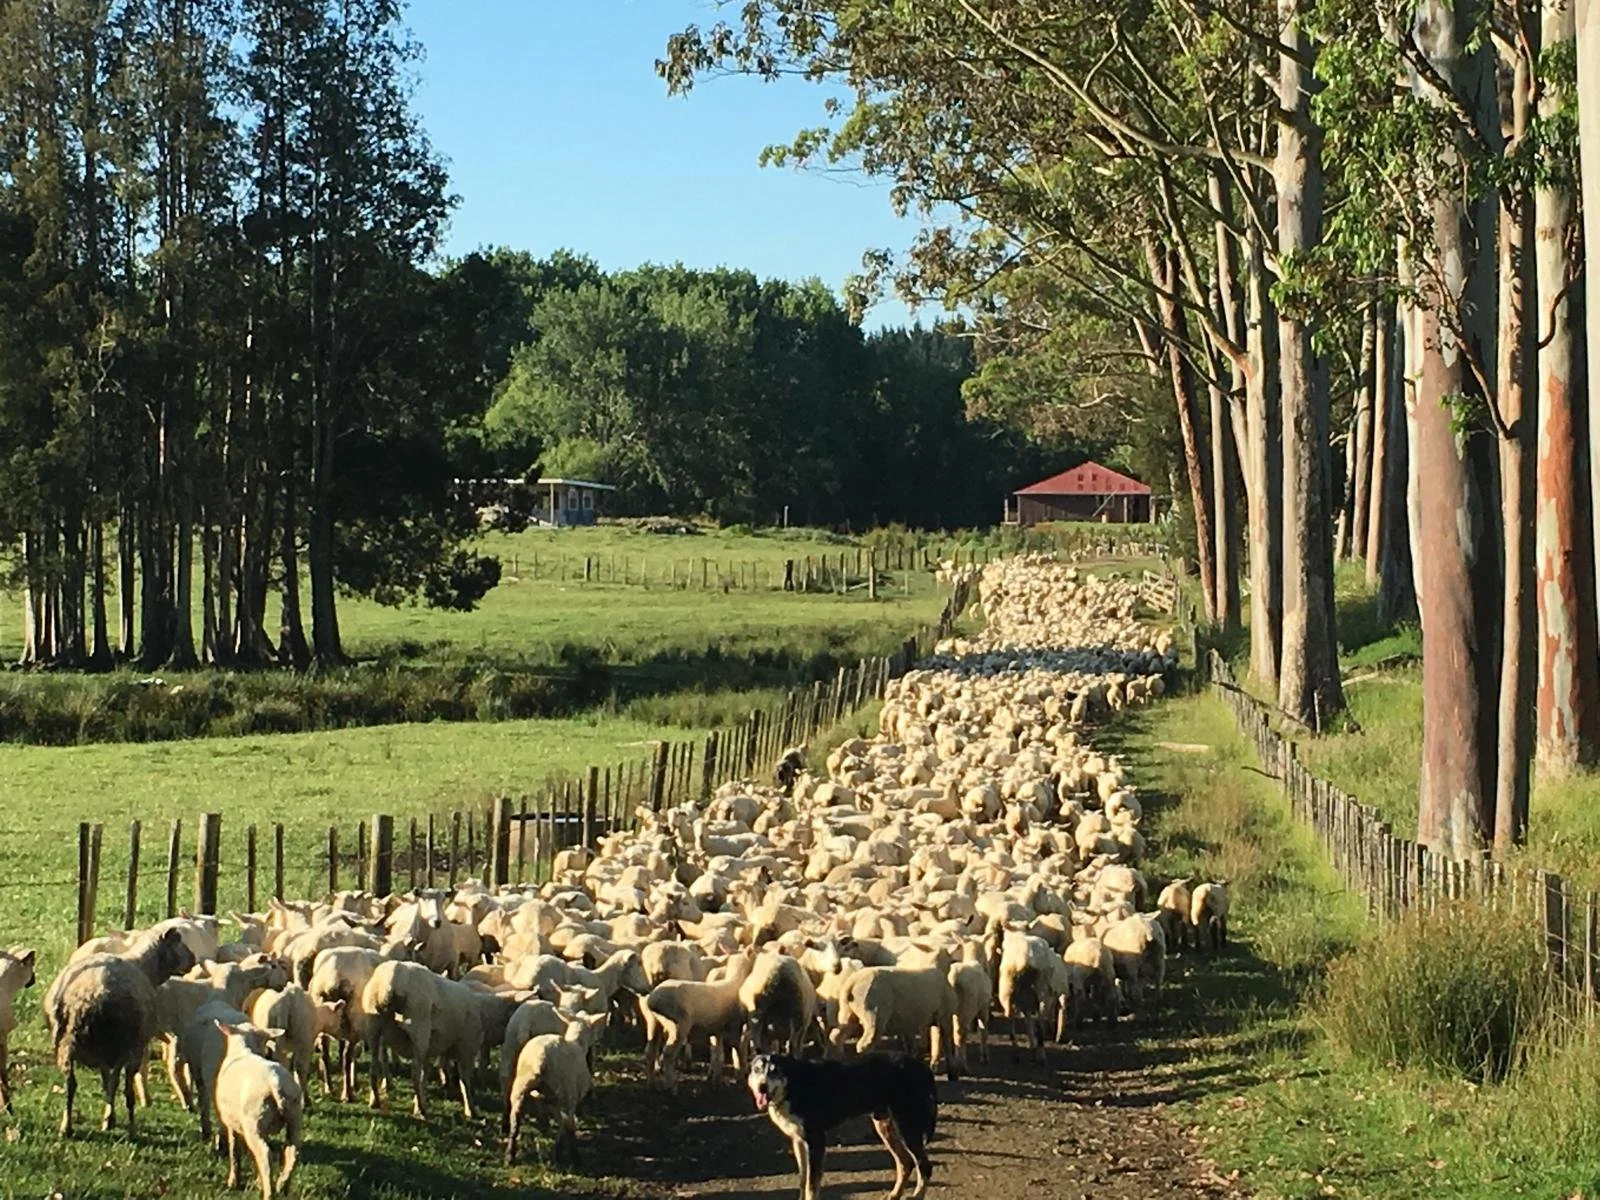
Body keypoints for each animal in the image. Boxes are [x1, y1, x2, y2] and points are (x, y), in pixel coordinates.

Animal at [48, 926, 196, 1136]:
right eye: (177, 942)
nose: (193, 959)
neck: (144, 966)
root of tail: (85, 995)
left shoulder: (104, 1054)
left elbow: (107, 1083)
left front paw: (109, 1118)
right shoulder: (131, 1048)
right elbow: (123, 1086)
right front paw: (116, 1121)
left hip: (65, 1044)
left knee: (70, 1084)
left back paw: (66, 1126)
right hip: (121, 1043)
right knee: (122, 1087)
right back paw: (131, 1129)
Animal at [212, 1019, 303, 1200]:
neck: (244, 1050)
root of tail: (275, 1081)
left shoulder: (231, 1123)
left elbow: (234, 1151)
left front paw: (233, 1181)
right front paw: (258, 1181)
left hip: (253, 1122)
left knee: (265, 1155)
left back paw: (269, 1192)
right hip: (294, 1116)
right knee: (292, 1152)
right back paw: (282, 1185)